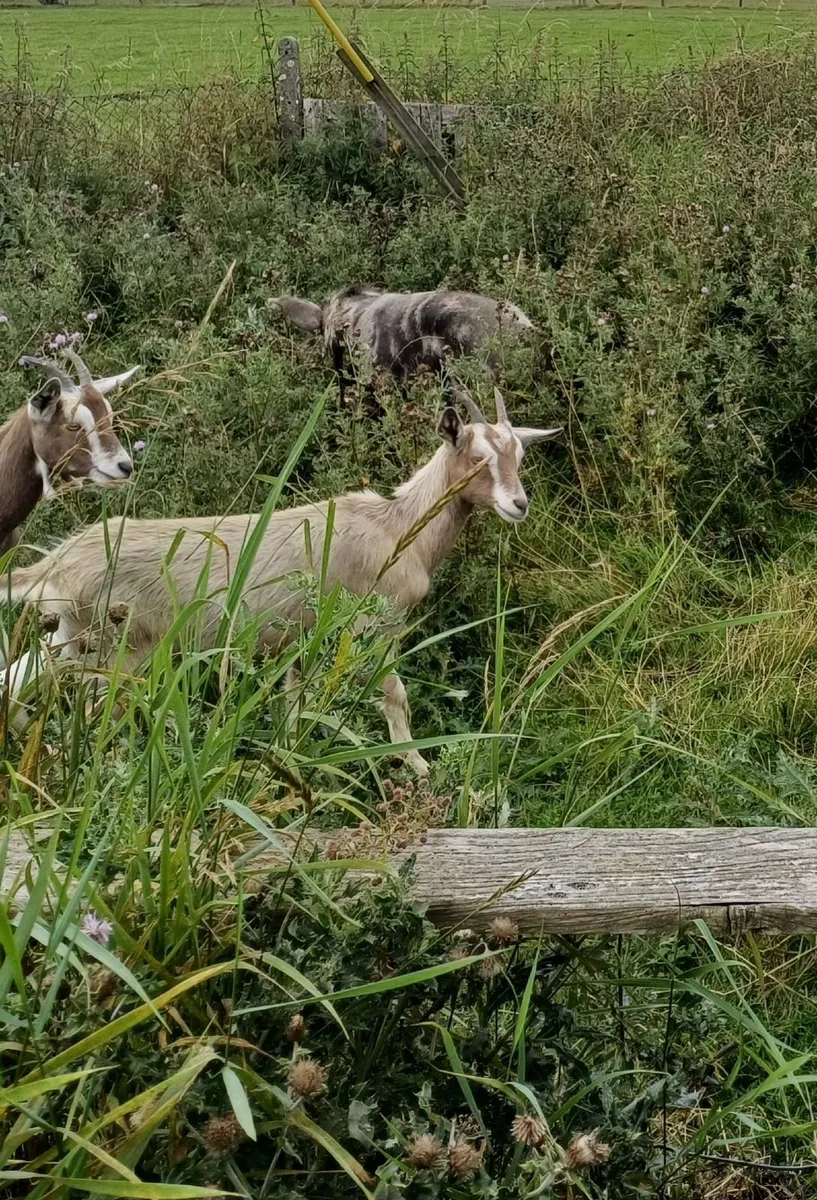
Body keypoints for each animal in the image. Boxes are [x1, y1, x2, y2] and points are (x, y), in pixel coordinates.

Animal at [3, 390, 560, 772]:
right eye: (477, 457)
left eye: (520, 456)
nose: (518, 505)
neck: (398, 528)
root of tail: (56, 563)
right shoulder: (372, 626)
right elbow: (394, 695)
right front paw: (418, 764)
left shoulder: (300, 637)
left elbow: (293, 706)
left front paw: (291, 758)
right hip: (119, 644)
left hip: (70, 632)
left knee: (22, 673)